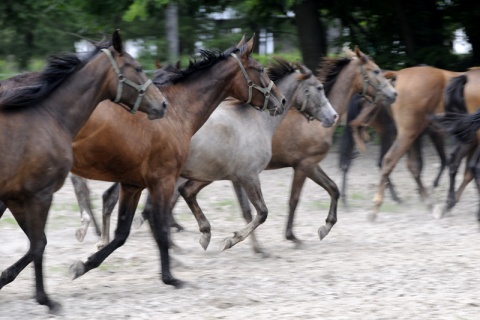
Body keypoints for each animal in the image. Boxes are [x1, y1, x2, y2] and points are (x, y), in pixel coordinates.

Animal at [0, 30, 169, 312]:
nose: (163, 104)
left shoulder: (17, 197)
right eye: (136, 68)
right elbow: (39, 244)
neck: (48, 117)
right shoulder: (39, 195)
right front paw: (45, 299)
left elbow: (36, 244)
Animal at [66, 35, 286, 288]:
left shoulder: (136, 183)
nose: (281, 100)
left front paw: (85, 264)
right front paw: (171, 275)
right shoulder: (164, 180)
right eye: (259, 69)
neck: (176, 111)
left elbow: (126, 231)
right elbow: (159, 222)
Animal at [72, 56, 338, 254]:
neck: (256, 122)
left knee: (115, 199)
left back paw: (104, 239)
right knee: (134, 206)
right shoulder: (249, 176)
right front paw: (231, 241)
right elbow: (260, 212)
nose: (333, 117)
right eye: (318, 88)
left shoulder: (217, 176)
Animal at [368, 65, 464, 220]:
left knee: (411, 165)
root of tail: (398, 74)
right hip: (407, 134)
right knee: (389, 160)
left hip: (411, 135)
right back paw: (376, 207)